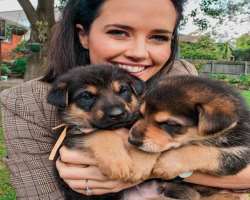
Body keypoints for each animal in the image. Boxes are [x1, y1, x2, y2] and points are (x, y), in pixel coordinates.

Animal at [47, 64, 146, 200]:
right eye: (87, 96)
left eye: (123, 90)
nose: (117, 114)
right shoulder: (71, 135)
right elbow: (100, 133)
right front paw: (118, 163)